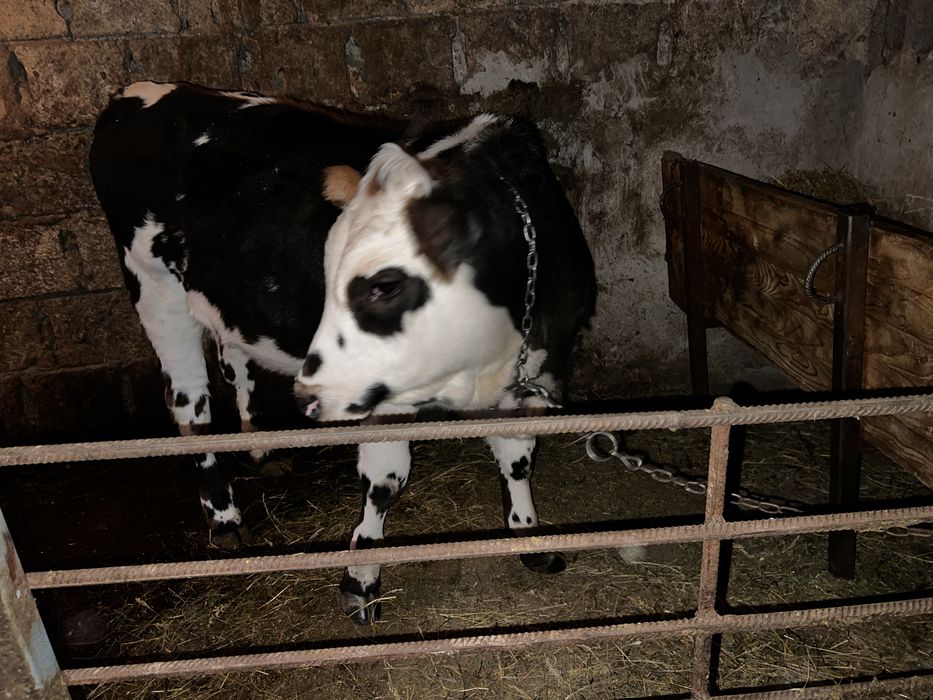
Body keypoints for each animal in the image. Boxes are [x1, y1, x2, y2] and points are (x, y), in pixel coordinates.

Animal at [89, 82, 596, 624]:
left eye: (384, 283)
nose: (310, 395)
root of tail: (134, 94)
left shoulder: (541, 371)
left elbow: (519, 455)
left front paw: (529, 538)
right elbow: (386, 480)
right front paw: (361, 579)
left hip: (227, 298)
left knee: (234, 360)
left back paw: (260, 447)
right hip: (153, 286)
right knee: (189, 400)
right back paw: (224, 517)